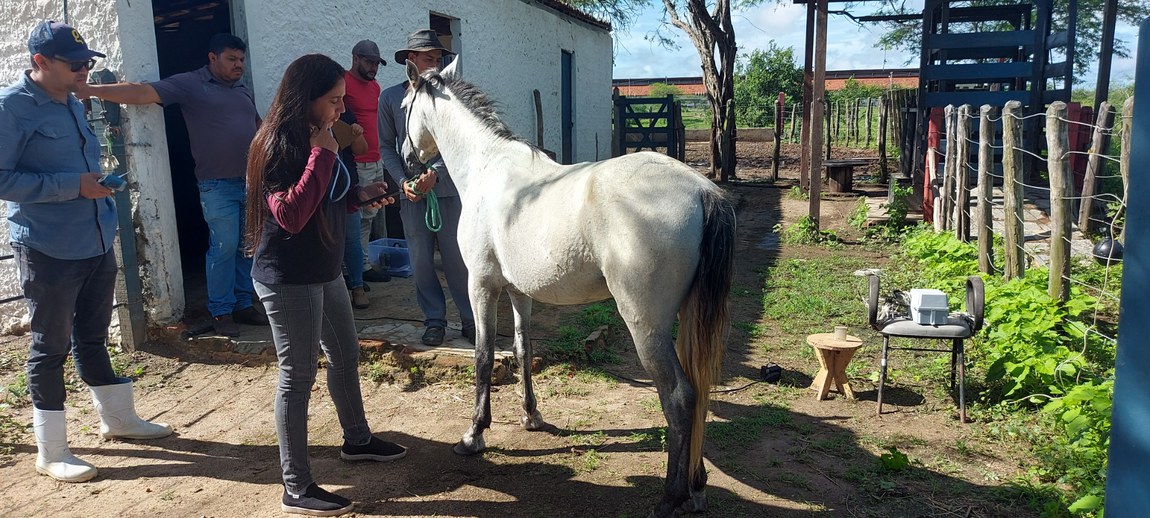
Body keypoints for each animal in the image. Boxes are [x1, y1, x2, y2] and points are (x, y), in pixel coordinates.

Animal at [400, 58, 736, 517]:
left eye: (403, 106)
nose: (405, 159)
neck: (488, 167)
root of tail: (702, 190)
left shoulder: (482, 284)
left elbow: (484, 357)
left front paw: (474, 435)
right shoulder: (518, 292)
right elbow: (522, 351)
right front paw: (532, 417)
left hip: (646, 326)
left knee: (681, 398)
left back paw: (671, 497)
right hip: (686, 319)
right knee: (699, 393)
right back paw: (697, 487)